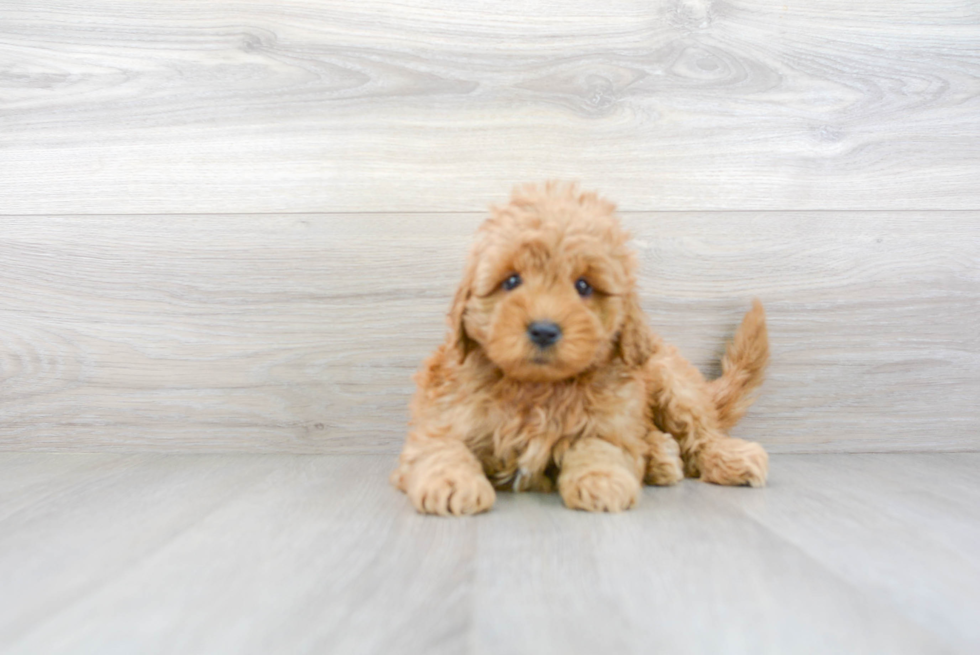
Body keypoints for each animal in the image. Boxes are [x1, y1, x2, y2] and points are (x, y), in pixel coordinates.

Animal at [388, 182, 764, 516]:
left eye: (583, 286)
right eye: (511, 281)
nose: (543, 330)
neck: (537, 388)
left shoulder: (609, 417)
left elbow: (598, 445)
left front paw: (602, 480)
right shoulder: (442, 414)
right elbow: (440, 448)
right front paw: (451, 483)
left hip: (671, 379)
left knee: (701, 431)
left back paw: (724, 458)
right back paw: (660, 456)